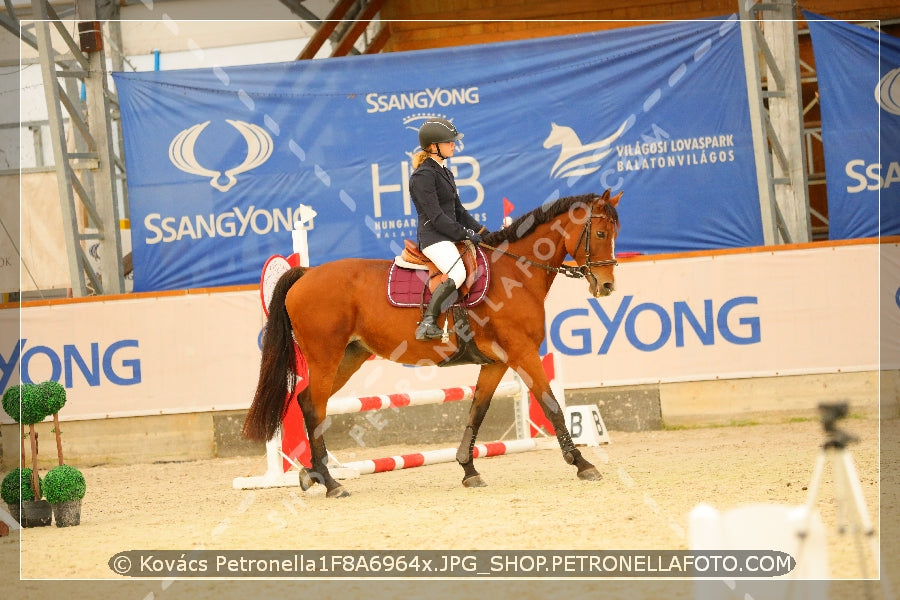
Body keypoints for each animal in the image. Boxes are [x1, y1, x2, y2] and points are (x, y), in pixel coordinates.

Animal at [243, 189, 624, 496]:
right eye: (600, 233)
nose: (606, 286)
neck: (515, 272)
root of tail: (305, 275)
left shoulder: (497, 362)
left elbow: (477, 411)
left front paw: (469, 470)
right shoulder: (522, 354)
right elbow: (552, 406)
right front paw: (583, 464)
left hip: (348, 358)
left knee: (309, 402)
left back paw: (314, 475)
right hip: (325, 357)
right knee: (313, 406)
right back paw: (332, 482)